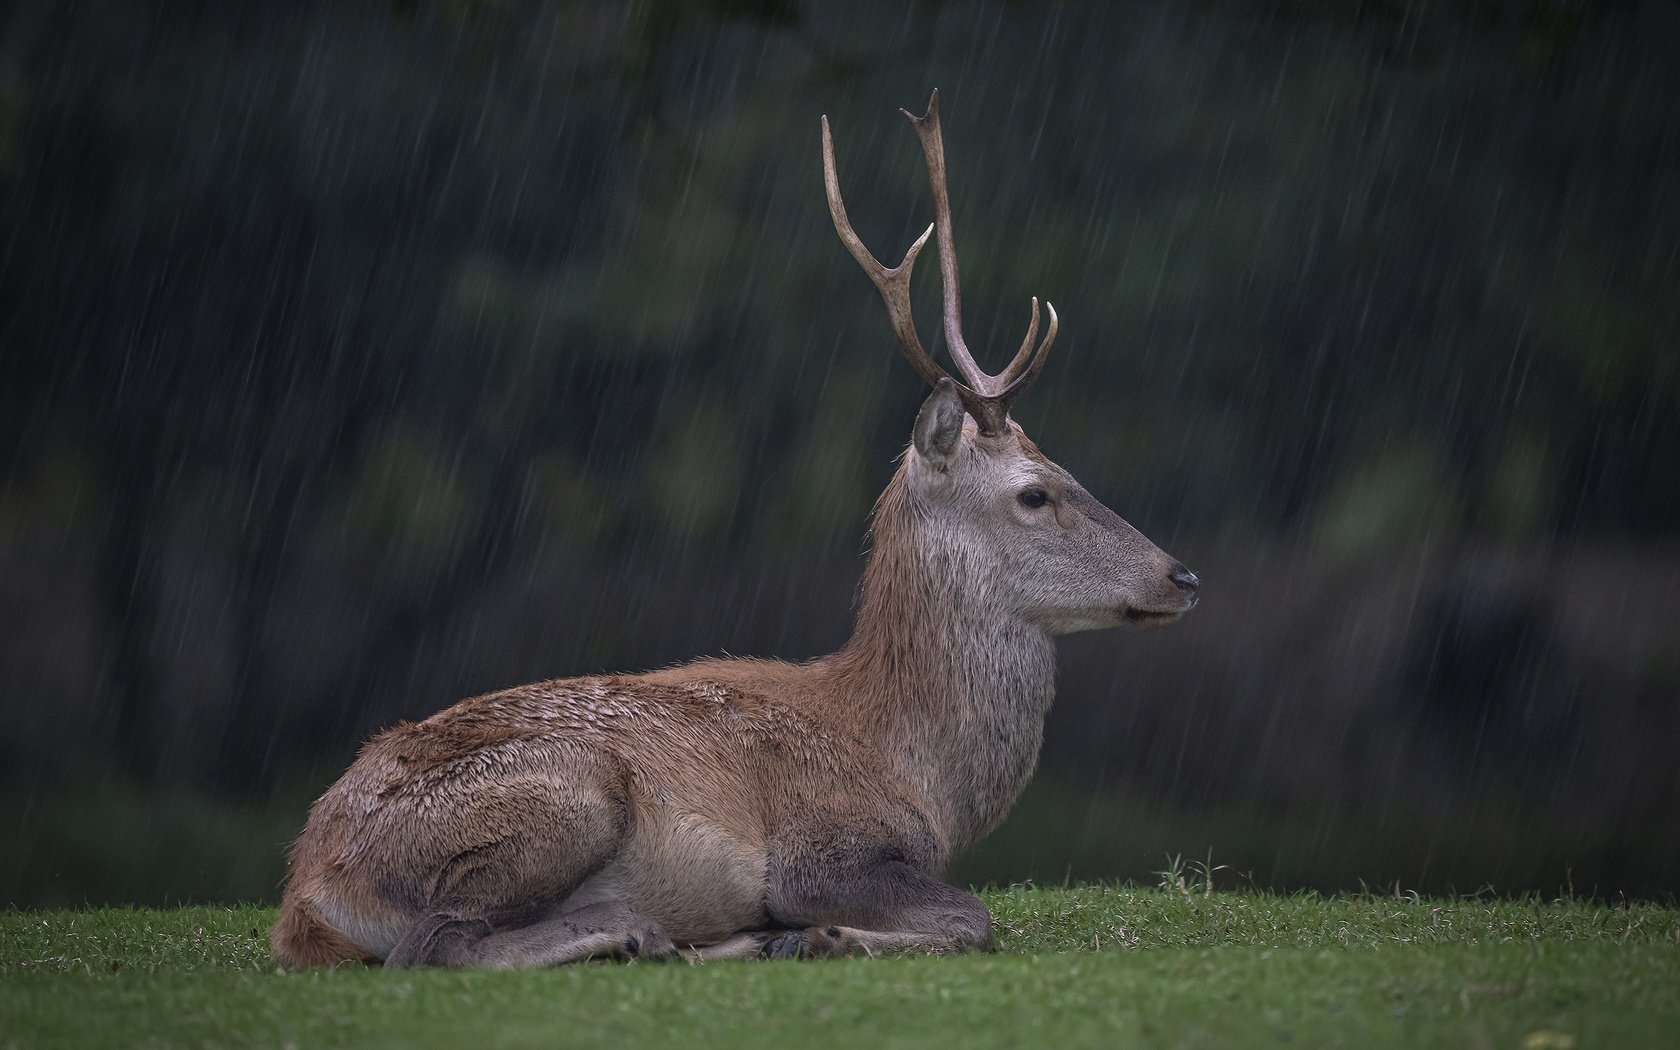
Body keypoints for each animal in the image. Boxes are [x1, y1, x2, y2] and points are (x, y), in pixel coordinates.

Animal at [272, 94, 1196, 967]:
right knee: (437, 944)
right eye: (1036, 493)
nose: (1181, 576)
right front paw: (822, 935)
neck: (915, 772)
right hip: (563, 791)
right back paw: (658, 935)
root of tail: (308, 890)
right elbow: (976, 918)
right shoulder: (820, 847)